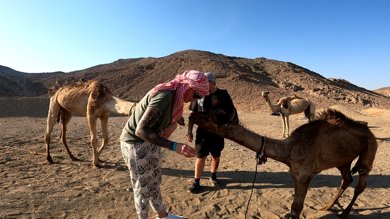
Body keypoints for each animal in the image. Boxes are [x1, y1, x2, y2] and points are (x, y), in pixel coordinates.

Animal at [189, 108, 378, 218]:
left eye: (209, 116)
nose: (192, 114)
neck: (289, 149)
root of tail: (370, 132)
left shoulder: (305, 175)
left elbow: (296, 208)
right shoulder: (294, 173)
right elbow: (294, 205)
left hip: (370, 149)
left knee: (361, 182)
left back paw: (345, 212)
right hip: (343, 160)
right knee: (346, 179)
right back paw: (327, 207)